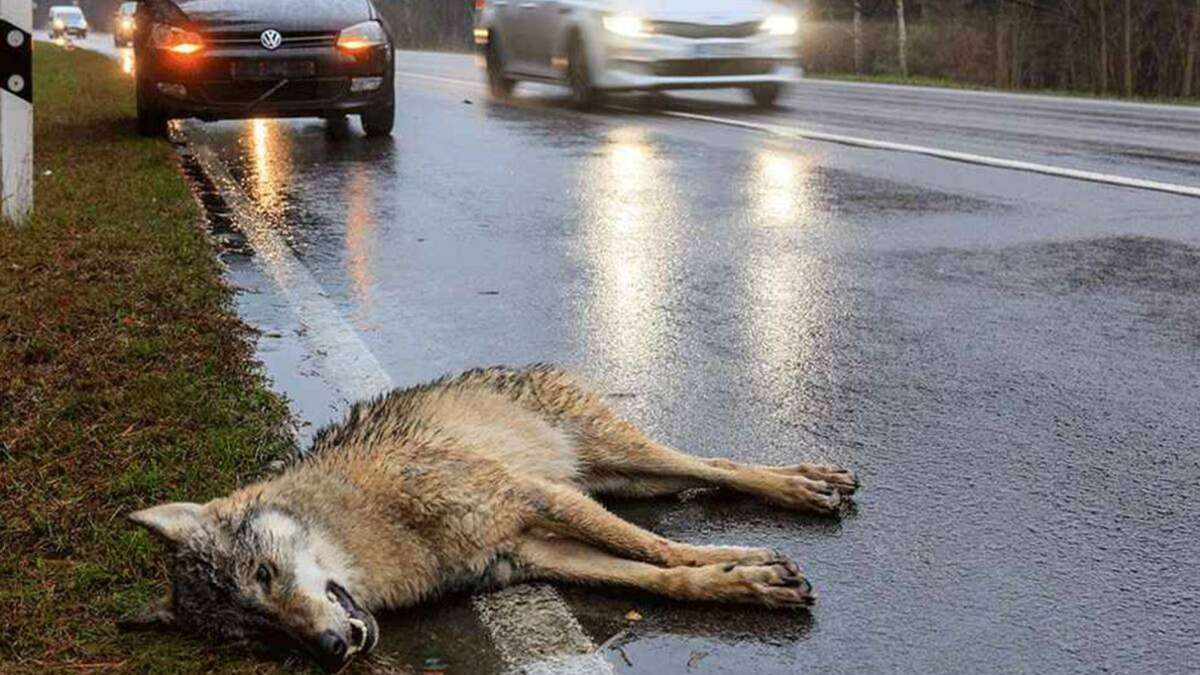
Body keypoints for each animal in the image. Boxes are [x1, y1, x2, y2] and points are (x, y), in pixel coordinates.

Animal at [125, 365, 858, 671]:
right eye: (259, 636)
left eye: (264, 574)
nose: (331, 652)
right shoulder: (533, 553)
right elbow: (658, 577)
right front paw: (740, 582)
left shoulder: (535, 498)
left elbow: (661, 549)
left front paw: (751, 566)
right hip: (622, 478)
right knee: (700, 476)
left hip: (617, 458)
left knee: (716, 465)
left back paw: (806, 485)